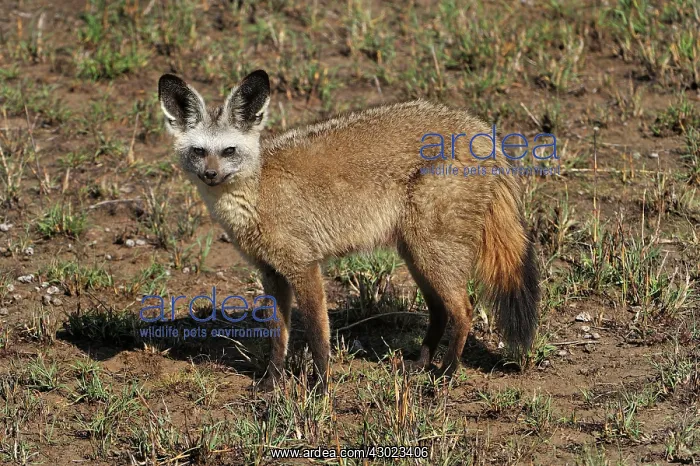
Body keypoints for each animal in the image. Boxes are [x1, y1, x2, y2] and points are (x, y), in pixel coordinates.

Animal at [158, 69, 540, 391]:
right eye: (199, 151)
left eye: (229, 151)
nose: (210, 175)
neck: (258, 192)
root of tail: (482, 129)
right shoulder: (272, 274)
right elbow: (278, 337)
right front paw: (271, 382)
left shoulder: (304, 267)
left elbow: (317, 336)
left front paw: (321, 388)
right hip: (417, 256)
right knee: (441, 311)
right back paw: (422, 364)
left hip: (432, 254)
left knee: (465, 310)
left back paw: (445, 374)